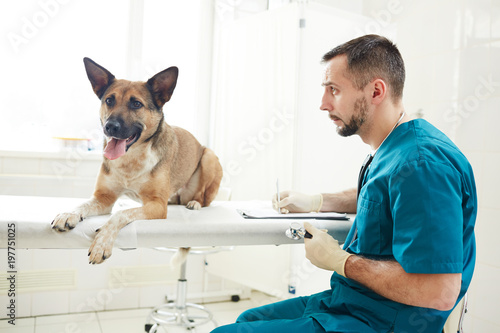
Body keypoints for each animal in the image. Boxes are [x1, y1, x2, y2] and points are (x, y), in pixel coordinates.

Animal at [51, 58, 222, 264]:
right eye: (109, 100)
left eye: (136, 104)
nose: (110, 126)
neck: (130, 157)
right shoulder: (104, 198)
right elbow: (83, 204)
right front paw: (68, 214)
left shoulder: (158, 206)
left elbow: (119, 214)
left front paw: (102, 243)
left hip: (209, 157)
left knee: (205, 199)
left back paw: (195, 203)